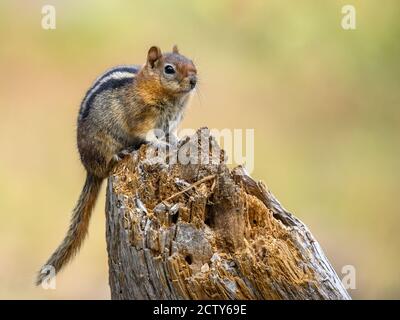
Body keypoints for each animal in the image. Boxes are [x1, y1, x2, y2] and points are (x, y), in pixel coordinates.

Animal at [36, 45, 196, 284]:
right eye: (169, 69)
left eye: (192, 62)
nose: (194, 80)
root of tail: (90, 169)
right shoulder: (141, 118)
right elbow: (147, 134)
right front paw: (160, 143)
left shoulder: (172, 121)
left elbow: (172, 133)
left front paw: (178, 140)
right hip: (104, 146)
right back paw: (122, 153)